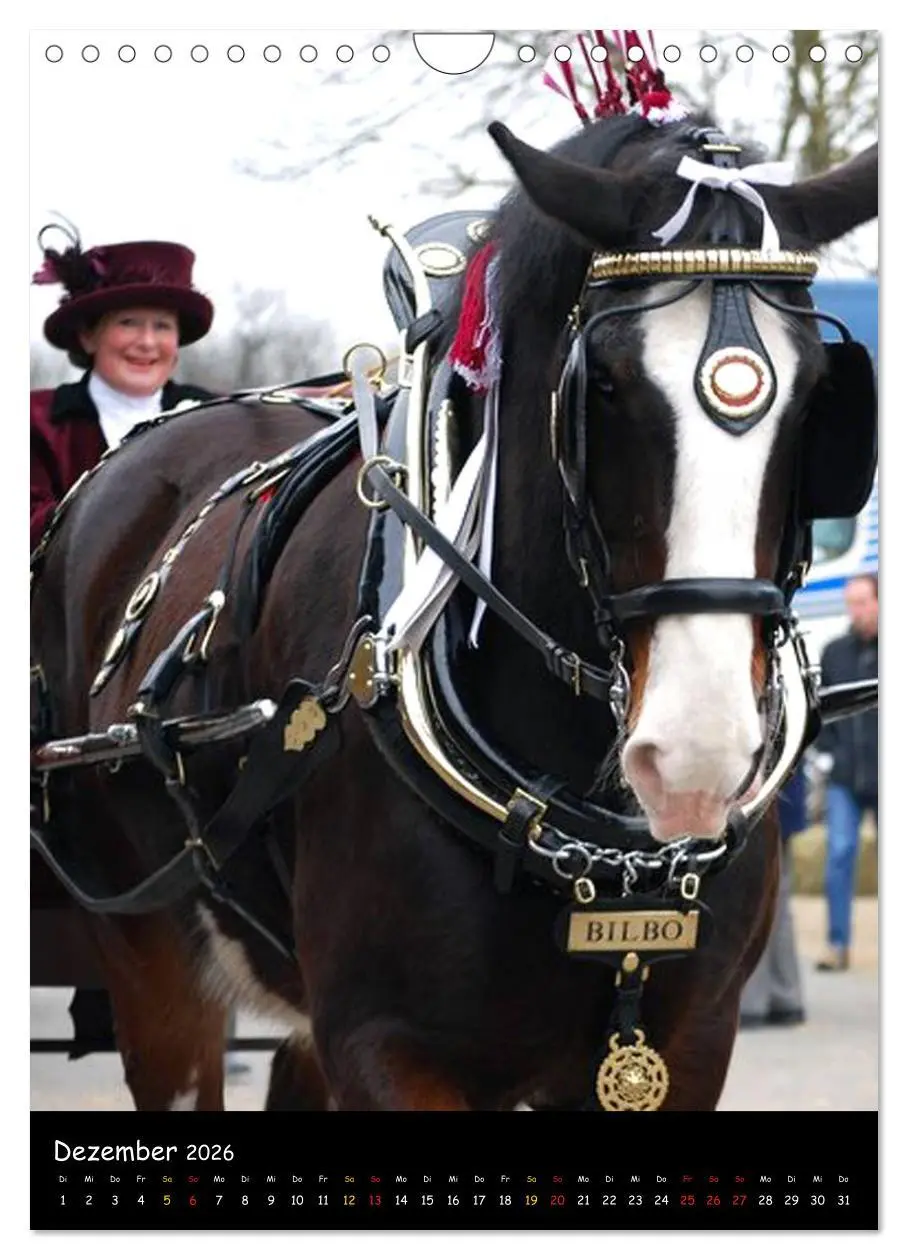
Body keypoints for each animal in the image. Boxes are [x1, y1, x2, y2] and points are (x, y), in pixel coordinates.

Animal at [30, 108, 878, 1112]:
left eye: (823, 398)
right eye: (603, 384)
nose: (698, 756)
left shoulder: (682, 1046)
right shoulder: (386, 1046)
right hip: (154, 968)